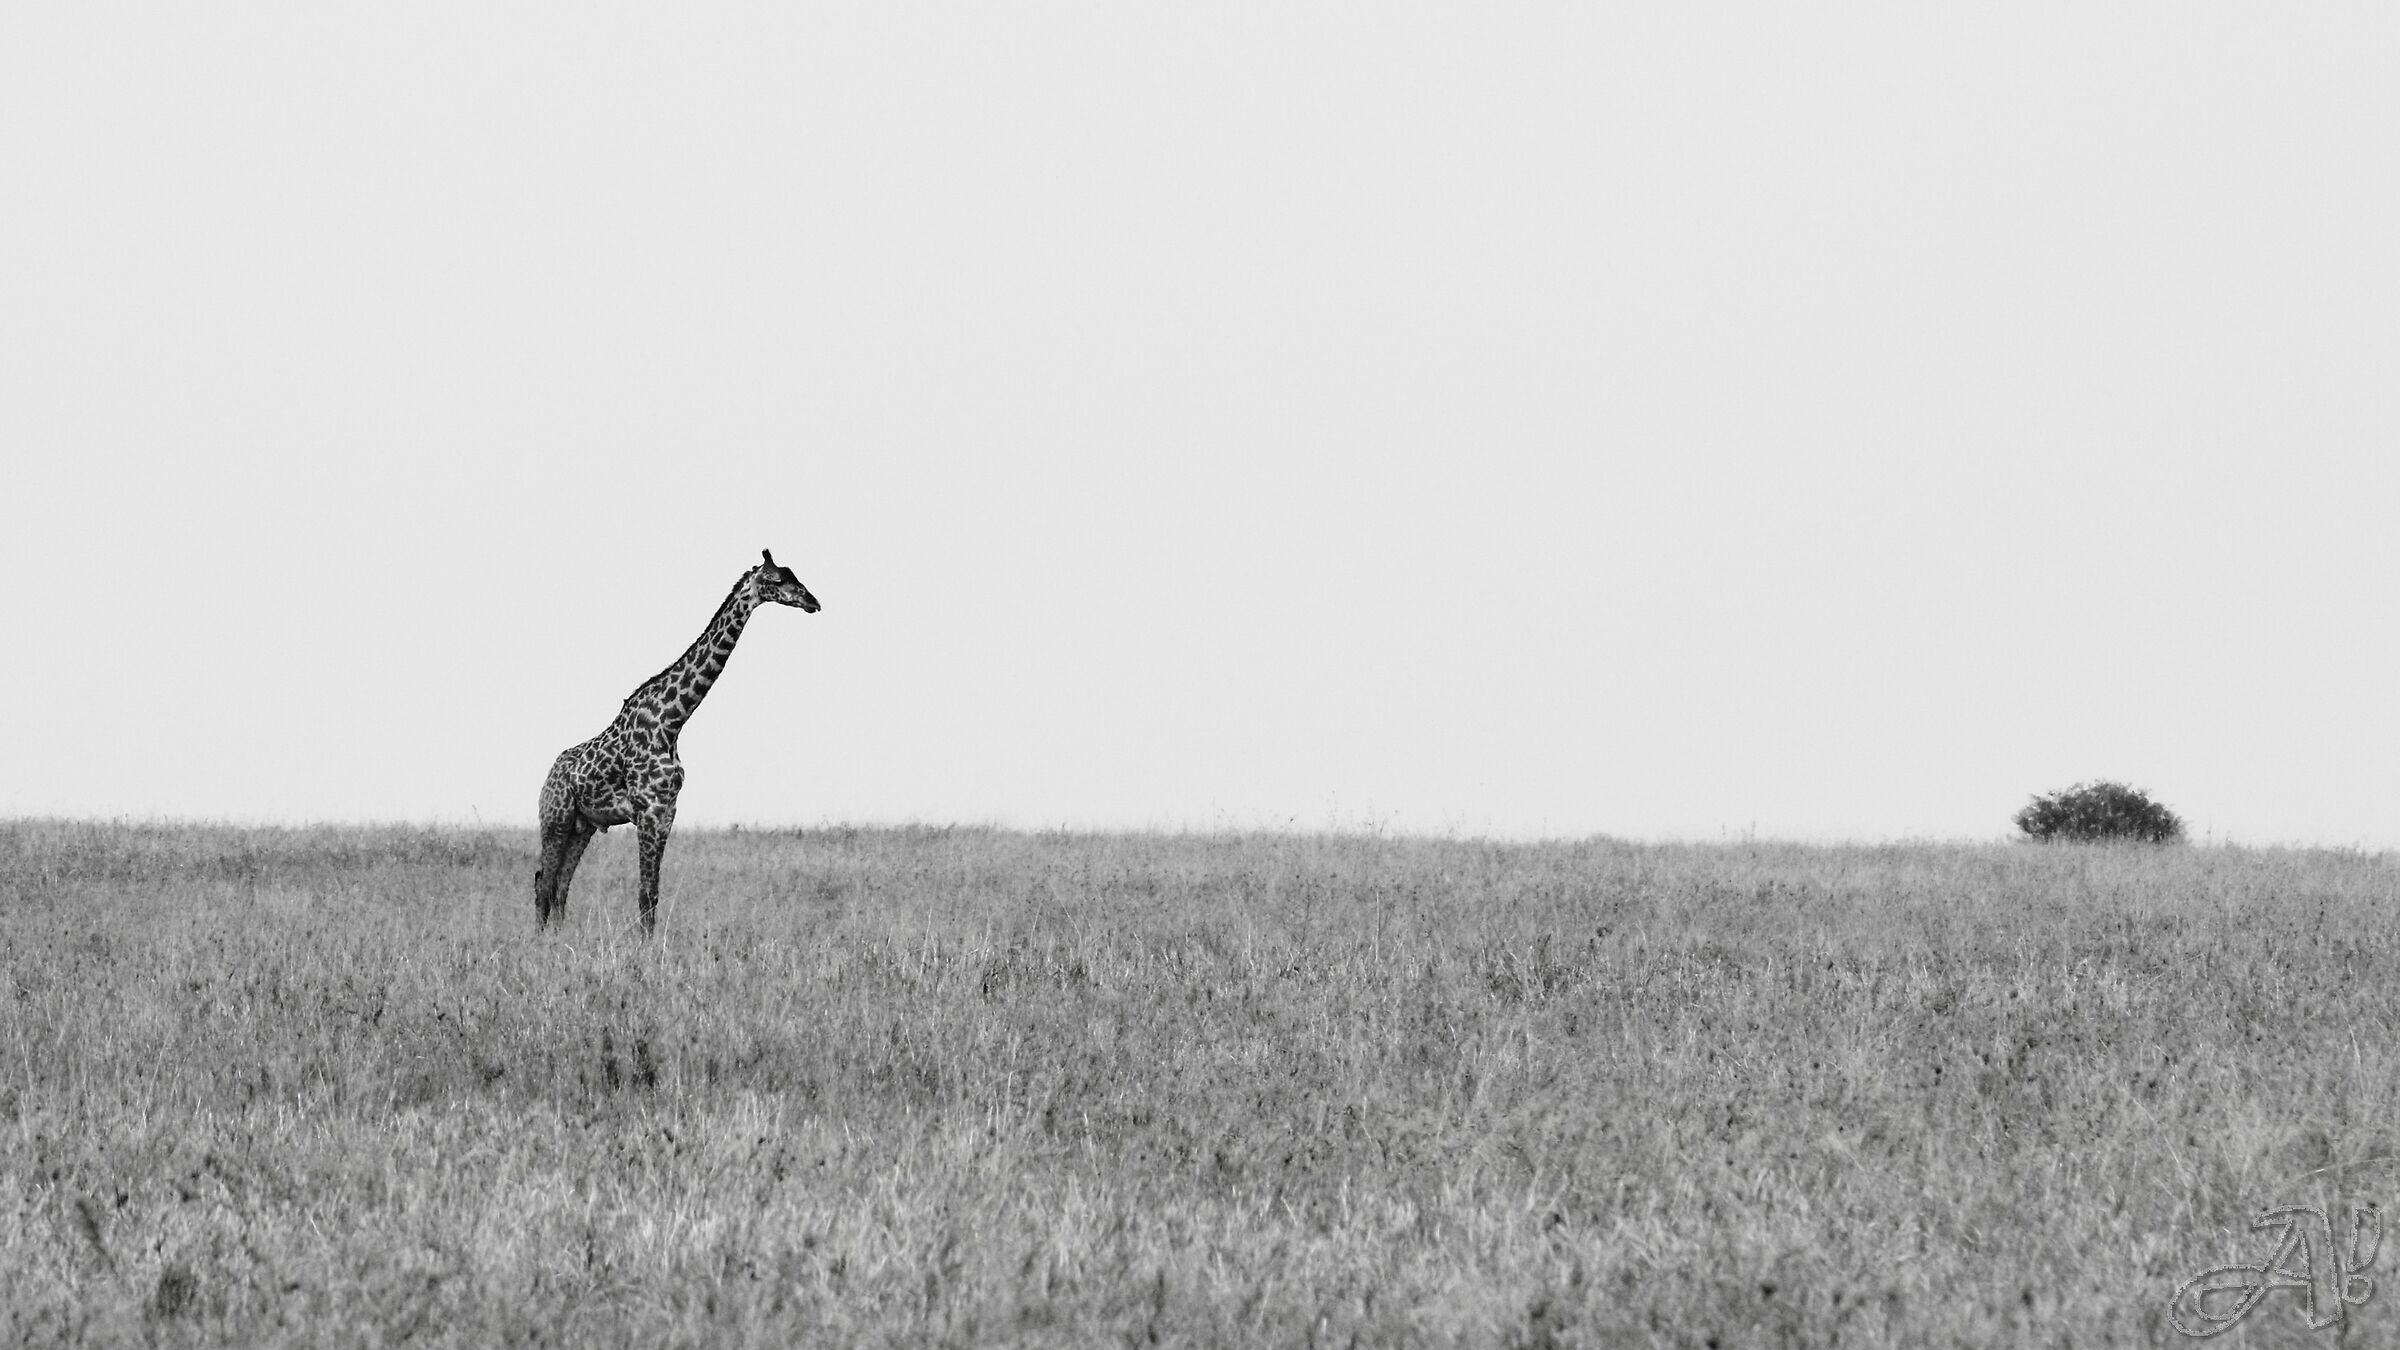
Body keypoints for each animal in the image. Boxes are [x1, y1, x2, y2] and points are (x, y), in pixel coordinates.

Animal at [535, 549, 821, 932]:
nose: (813, 602)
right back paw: (541, 940)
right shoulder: (647, 810)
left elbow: (653, 894)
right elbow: (644, 894)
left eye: (795, 576)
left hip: (583, 826)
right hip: (556, 819)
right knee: (543, 881)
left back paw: (559, 937)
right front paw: (645, 946)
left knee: (561, 884)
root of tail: (549, 775)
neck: (672, 721)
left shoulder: (667, 811)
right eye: (777, 579)